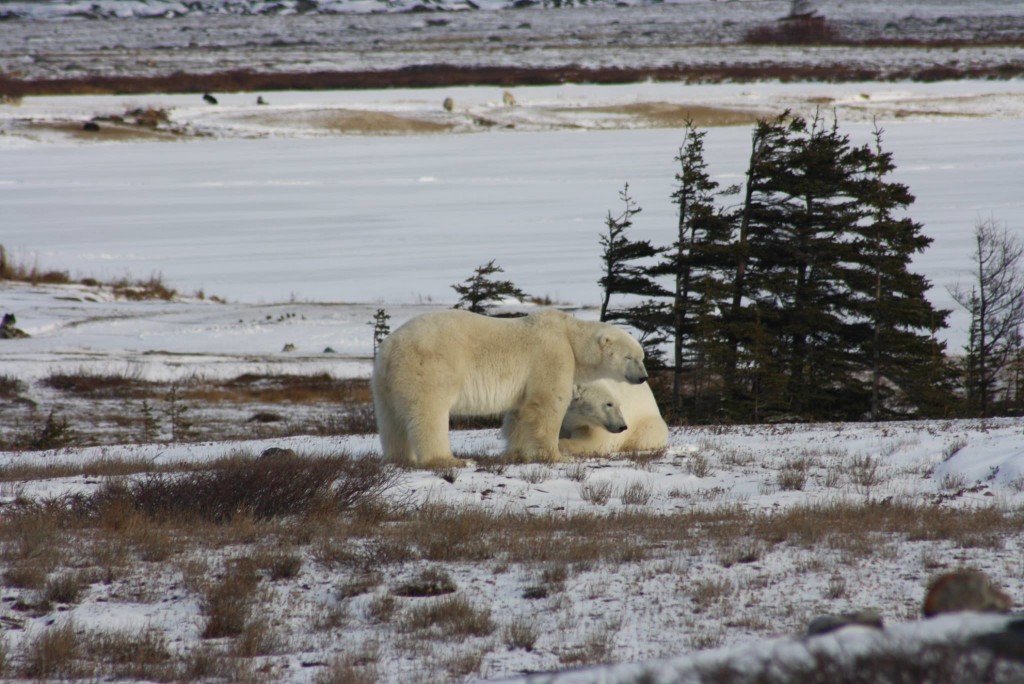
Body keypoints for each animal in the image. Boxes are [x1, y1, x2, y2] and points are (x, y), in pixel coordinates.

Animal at [371, 308, 648, 468]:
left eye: (642, 356)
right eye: (630, 357)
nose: (643, 377)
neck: (569, 337)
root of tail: (390, 349)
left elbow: (520, 412)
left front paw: (517, 454)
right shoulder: (552, 356)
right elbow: (546, 405)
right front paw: (556, 456)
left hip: (386, 382)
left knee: (391, 420)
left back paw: (399, 458)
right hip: (429, 368)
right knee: (429, 414)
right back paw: (451, 460)